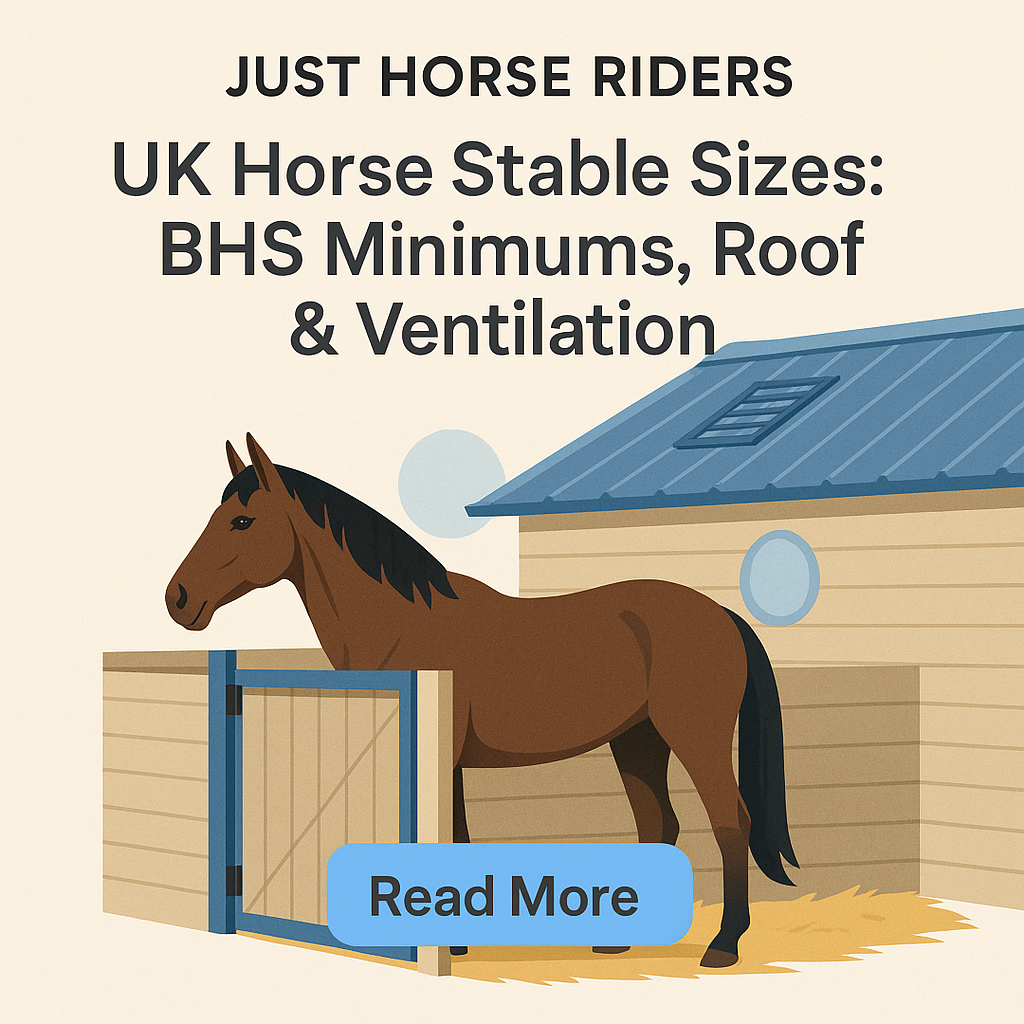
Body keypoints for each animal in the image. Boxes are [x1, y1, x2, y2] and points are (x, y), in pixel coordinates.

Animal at [166, 434, 799, 968]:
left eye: (242, 520)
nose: (178, 599)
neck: (405, 620)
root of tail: (721, 613)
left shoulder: (440, 752)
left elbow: (450, 835)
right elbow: (459, 835)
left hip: (692, 735)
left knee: (730, 820)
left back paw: (723, 946)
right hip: (636, 740)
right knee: (658, 824)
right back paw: (620, 943)